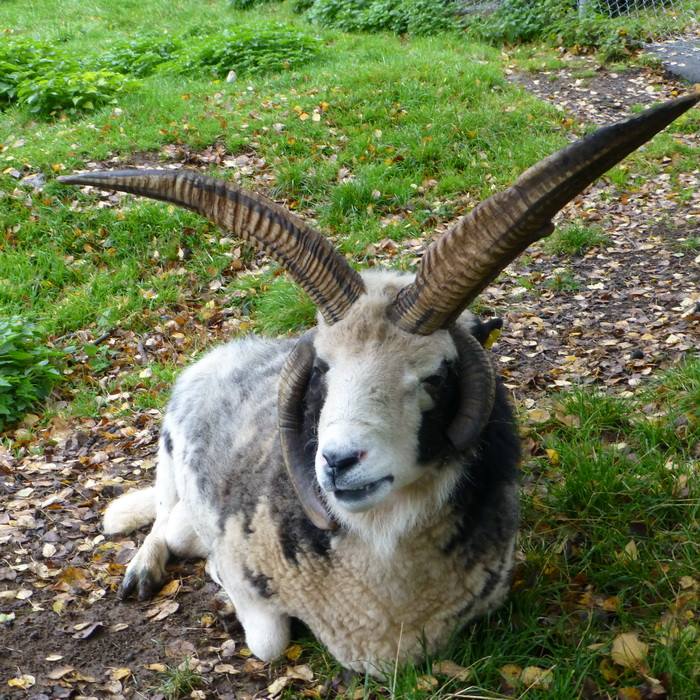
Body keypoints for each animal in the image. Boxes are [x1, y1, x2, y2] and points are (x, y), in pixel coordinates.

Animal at [60, 90, 700, 676]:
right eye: (324, 369)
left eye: (433, 375)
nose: (339, 462)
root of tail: (220, 355)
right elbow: (268, 643)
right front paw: (215, 578)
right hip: (173, 475)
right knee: (166, 523)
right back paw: (142, 571)